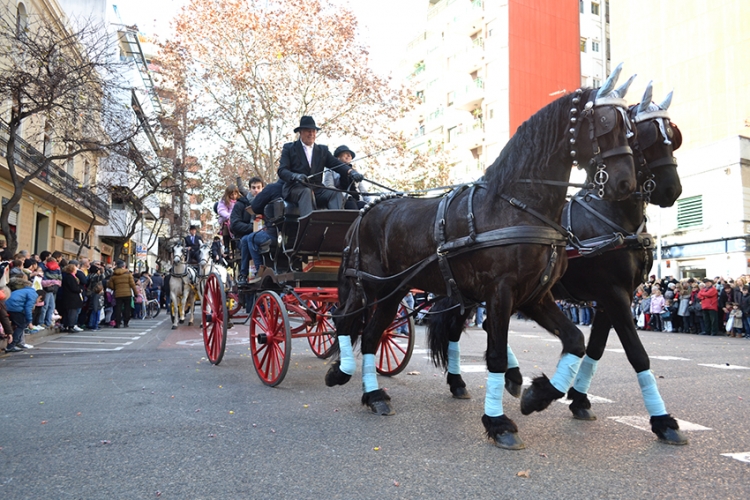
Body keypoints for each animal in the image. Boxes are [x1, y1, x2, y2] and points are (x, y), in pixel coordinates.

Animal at [328, 63, 640, 450]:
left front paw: (537, 395)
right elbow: (495, 354)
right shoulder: (501, 292)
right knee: (352, 328)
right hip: (376, 290)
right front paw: (499, 422)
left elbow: (575, 340)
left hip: (395, 294)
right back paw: (356, 383)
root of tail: (365, 211)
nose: (625, 184)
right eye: (607, 123)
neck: (515, 206)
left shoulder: (536, 296)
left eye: (631, 127)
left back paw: (370, 393)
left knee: (368, 334)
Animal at [428, 83, 688, 446]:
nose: (670, 189)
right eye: (643, 136)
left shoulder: (608, 299)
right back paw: (459, 381)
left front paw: (577, 399)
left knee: (486, 326)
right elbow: (637, 353)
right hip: (469, 294)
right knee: (455, 330)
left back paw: (509, 376)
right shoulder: (613, 294)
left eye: (673, 137)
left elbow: (594, 350)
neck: (611, 217)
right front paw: (662, 420)